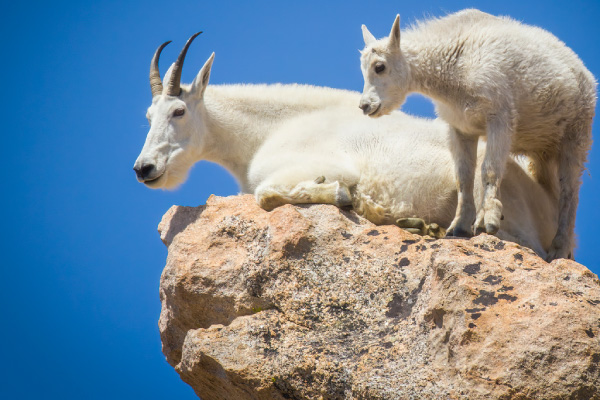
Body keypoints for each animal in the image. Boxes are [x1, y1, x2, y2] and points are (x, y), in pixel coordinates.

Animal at [134, 32, 560, 258]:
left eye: (178, 111)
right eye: (148, 116)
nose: (144, 168)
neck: (267, 130)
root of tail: (544, 204)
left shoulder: (324, 165)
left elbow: (266, 195)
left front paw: (343, 195)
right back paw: (416, 224)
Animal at [358, 9, 596, 260]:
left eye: (380, 66)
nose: (365, 106)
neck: (454, 67)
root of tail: (586, 74)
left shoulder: (499, 117)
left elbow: (489, 169)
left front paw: (487, 221)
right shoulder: (461, 129)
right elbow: (463, 176)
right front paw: (458, 227)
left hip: (576, 136)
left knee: (570, 193)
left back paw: (559, 249)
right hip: (541, 152)